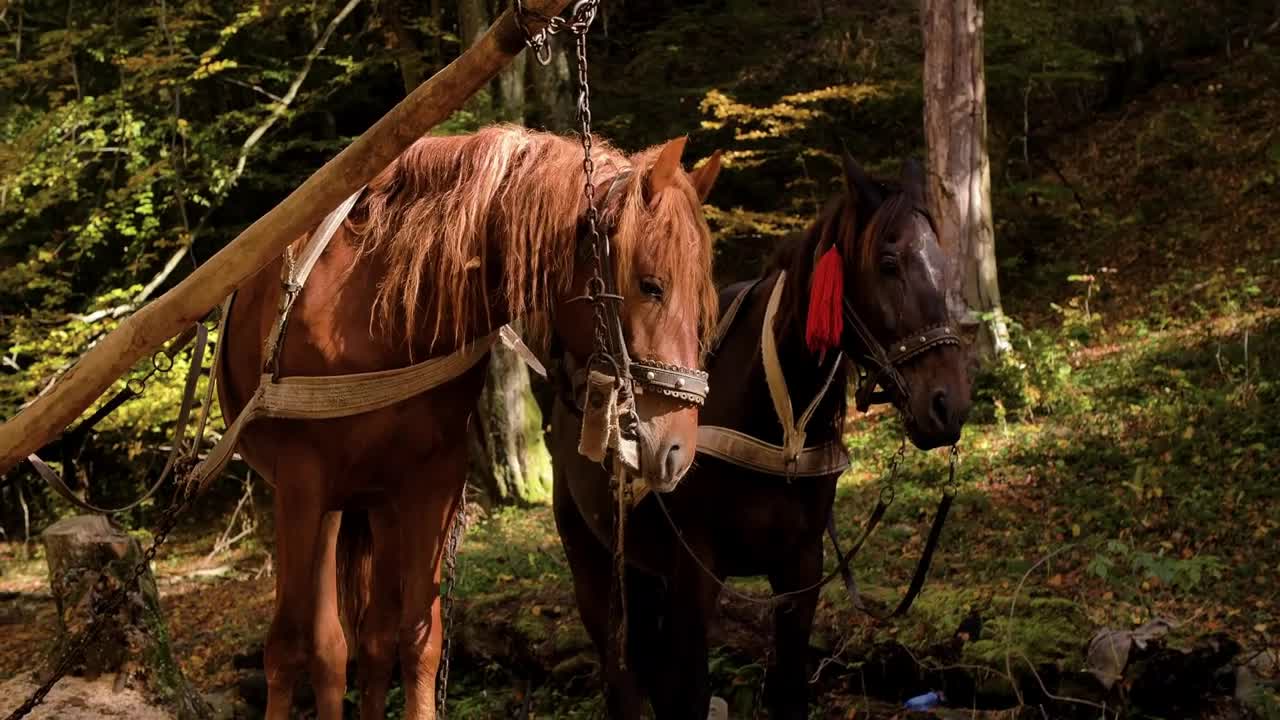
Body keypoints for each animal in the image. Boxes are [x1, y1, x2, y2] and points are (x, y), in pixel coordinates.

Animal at [216, 124, 727, 717]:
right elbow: (286, 649)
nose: (677, 451)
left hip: (374, 501)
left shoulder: (430, 481)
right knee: (320, 647)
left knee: (366, 644)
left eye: (703, 301)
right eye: (651, 285)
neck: (375, 314)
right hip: (320, 501)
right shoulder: (301, 482)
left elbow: (418, 641)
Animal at [547, 152, 967, 717]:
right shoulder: (694, 575)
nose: (949, 404)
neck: (776, 420)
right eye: (888, 263)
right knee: (622, 677)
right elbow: (689, 693)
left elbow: (786, 689)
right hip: (591, 559)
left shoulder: (801, 569)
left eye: (943, 264)